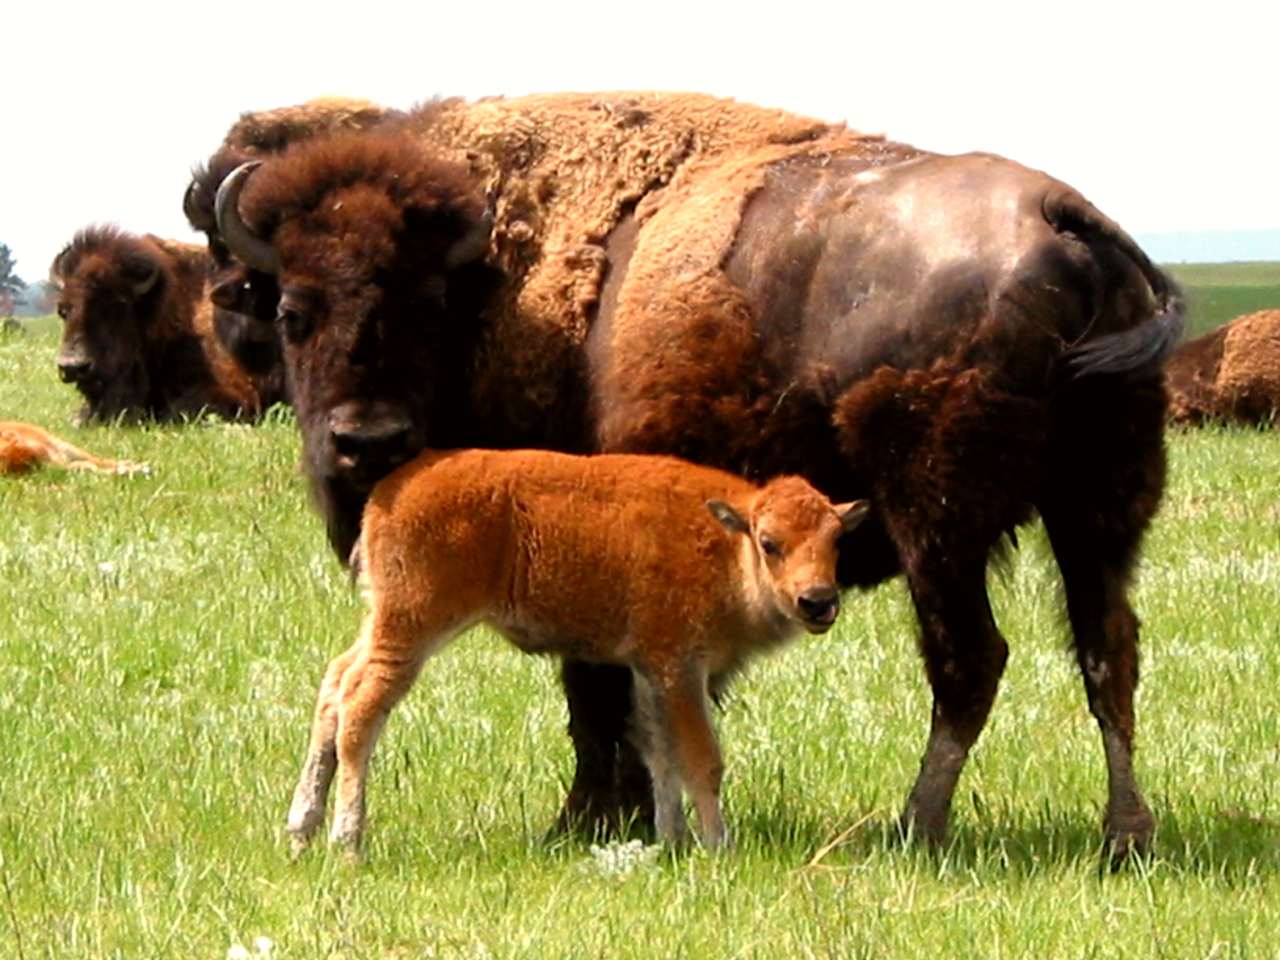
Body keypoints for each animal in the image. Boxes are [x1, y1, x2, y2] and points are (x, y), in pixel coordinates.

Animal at [287, 447, 869, 855]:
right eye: (770, 543)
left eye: (836, 540)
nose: (818, 601)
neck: (726, 540)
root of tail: (389, 492)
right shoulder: (680, 667)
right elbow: (701, 758)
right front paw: (718, 847)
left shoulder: (648, 669)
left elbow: (658, 751)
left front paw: (673, 841)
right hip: (412, 628)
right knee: (362, 708)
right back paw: (347, 842)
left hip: (382, 622)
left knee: (335, 684)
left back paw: (301, 830)